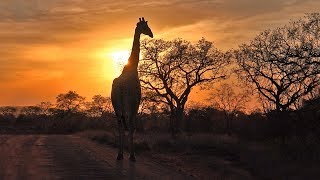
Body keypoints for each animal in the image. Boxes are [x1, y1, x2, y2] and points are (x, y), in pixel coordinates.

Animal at [111, 17, 154, 162]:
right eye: (145, 26)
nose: (151, 34)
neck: (133, 67)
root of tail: (120, 88)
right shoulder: (136, 104)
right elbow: (133, 127)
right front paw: (131, 155)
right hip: (129, 105)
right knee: (129, 126)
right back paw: (131, 156)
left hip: (116, 106)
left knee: (120, 125)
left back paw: (119, 154)